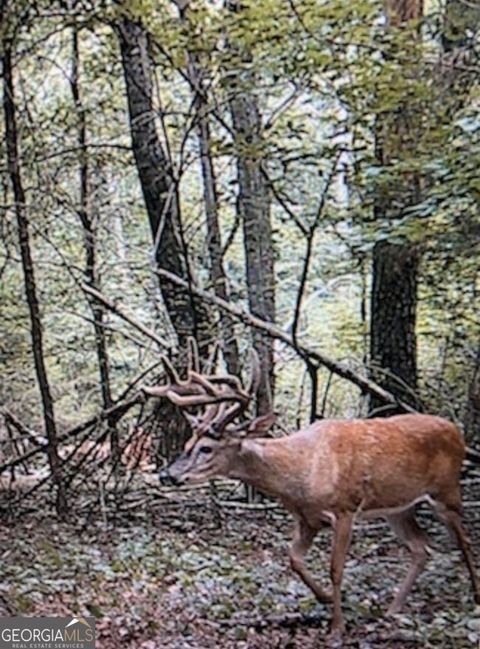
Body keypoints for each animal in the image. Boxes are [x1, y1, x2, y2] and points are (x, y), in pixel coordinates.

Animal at [143, 342, 480, 636]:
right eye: (187, 443)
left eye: (207, 448)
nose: (166, 475)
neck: (301, 472)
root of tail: (456, 431)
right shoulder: (308, 518)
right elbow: (293, 558)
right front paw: (326, 599)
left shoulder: (345, 509)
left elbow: (336, 568)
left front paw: (337, 627)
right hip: (399, 508)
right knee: (422, 548)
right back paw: (393, 610)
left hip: (447, 491)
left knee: (464, 542)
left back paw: (474, 597)